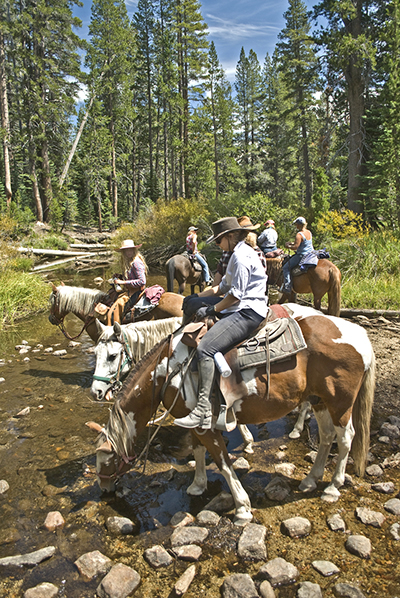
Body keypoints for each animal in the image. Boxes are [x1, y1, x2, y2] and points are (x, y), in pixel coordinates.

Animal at [87, 308, 376, 528]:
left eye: (105, 460)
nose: (104, 489)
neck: (167, 371)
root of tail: (361, 335)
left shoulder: (205, 426)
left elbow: (223, 462)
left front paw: (242, 507)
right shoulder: (193, 422)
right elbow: (199, 452)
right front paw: (198, 485)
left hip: (340, 404)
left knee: (346, 439)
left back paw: (332, 487)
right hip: (320, 401)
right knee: (326, 437)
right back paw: (310, 479)